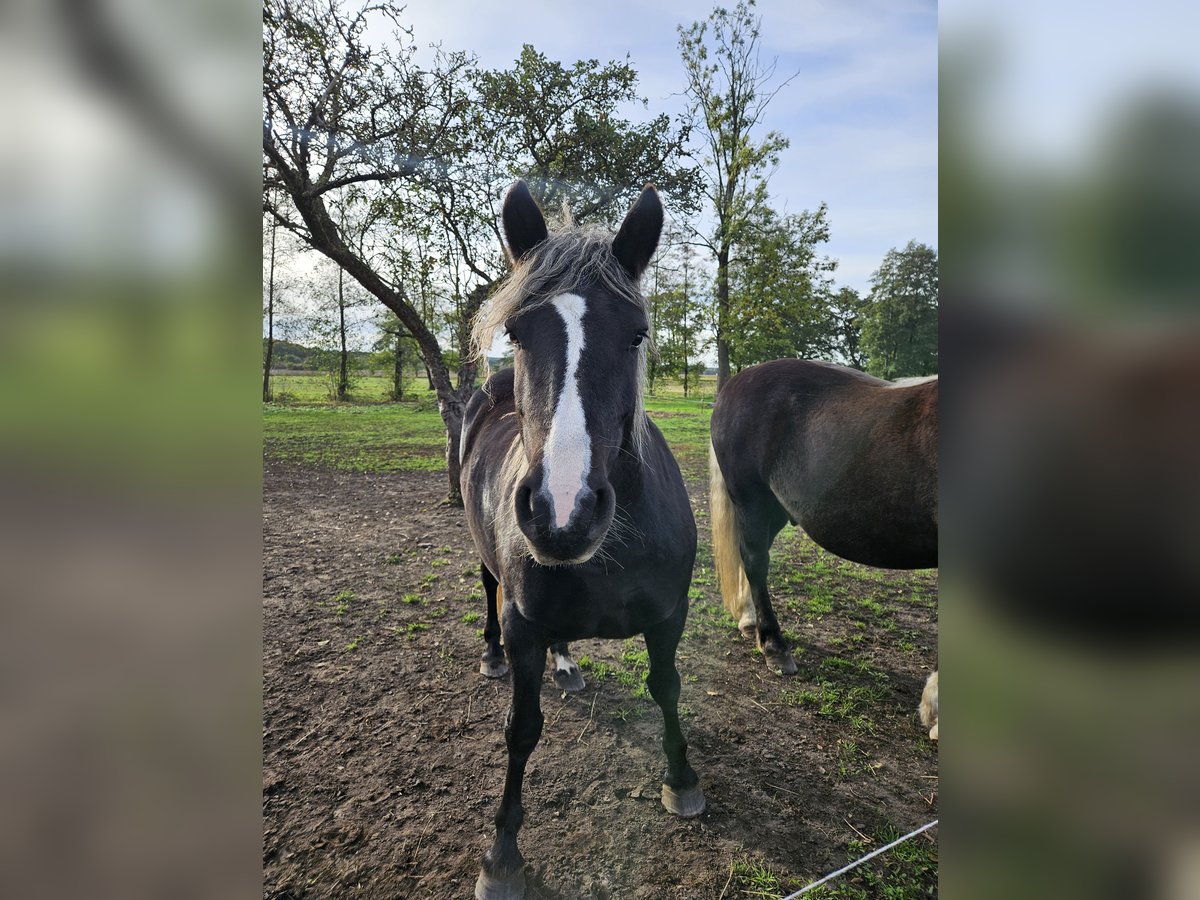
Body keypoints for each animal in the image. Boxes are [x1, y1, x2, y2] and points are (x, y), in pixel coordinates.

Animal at [460, 181, 703, 899]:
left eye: (637, 333)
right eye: (516, 332)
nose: (561, 512)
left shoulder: (670, 615)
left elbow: (667, 687)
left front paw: (682, 781)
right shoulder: (523, 627)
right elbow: (521, 731)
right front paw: (501, 855)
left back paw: (568, 662)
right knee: (486, 589)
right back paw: (491, 655)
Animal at [708, 359, 938, 729]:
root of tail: (736, 383)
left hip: (775, 507)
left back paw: (749, 620)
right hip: (751, 500)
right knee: (755, 560)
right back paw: (774, 646)